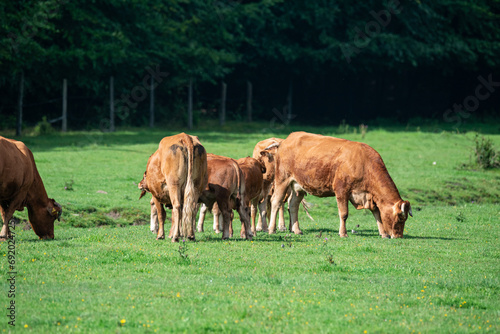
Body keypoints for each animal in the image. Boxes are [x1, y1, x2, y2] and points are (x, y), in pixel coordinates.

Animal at [264, 132, 412, 239]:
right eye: (400, 217)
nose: (398, 236)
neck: (364, 163)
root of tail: (286, 140)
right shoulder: (341, 190)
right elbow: (344, 214)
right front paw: (343, 233)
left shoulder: (369, 195)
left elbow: (377, 213)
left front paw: (383, 233)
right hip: (282, 179)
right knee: (276, 202)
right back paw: (272, 229)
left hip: (298, 186)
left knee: (293, 205)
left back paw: (297, 230)